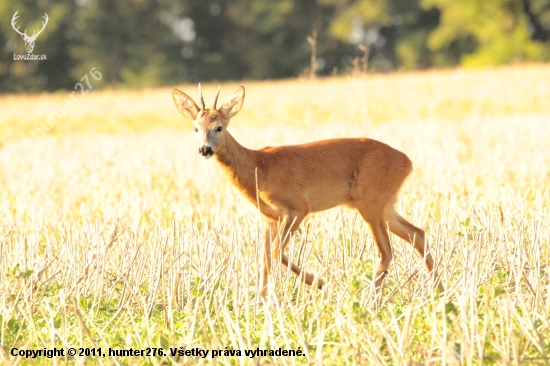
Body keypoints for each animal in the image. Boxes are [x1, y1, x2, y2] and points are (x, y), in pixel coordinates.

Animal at [175, 84, 446, 296]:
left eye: (219, 127)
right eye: (196, 128)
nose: (204, 149)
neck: (258, 168)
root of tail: (407, 162)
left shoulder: (298, 207)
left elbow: (276, 252)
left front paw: (319, 282)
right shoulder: (269, 218)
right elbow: (264, 259)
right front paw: (261, 304)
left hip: (370, 201)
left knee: (387, 251)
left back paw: (371, 301)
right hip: (385, 205)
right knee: (418, 235)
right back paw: (440, 294)